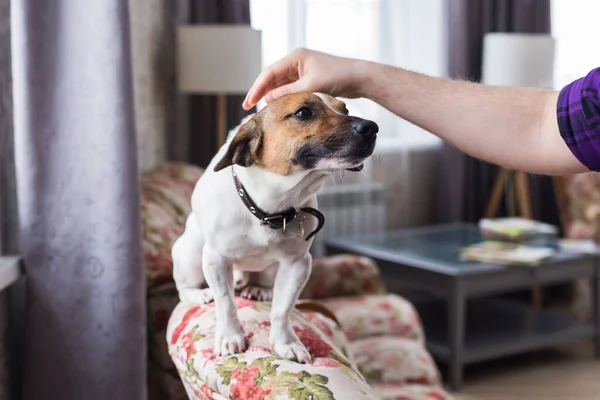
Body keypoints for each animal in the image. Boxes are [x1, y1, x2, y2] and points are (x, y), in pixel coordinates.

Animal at [171, 92, 378, 360]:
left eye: (345, 108)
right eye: (303, 112)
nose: (372, 127)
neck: (271, 205)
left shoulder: (297, 264)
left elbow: (281, 309)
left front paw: (285, 342)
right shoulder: (216, 259)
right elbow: (226, 302)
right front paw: (230, 336)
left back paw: (258, 289)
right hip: (190, 253)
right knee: (184, 288)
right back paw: (199, 293)